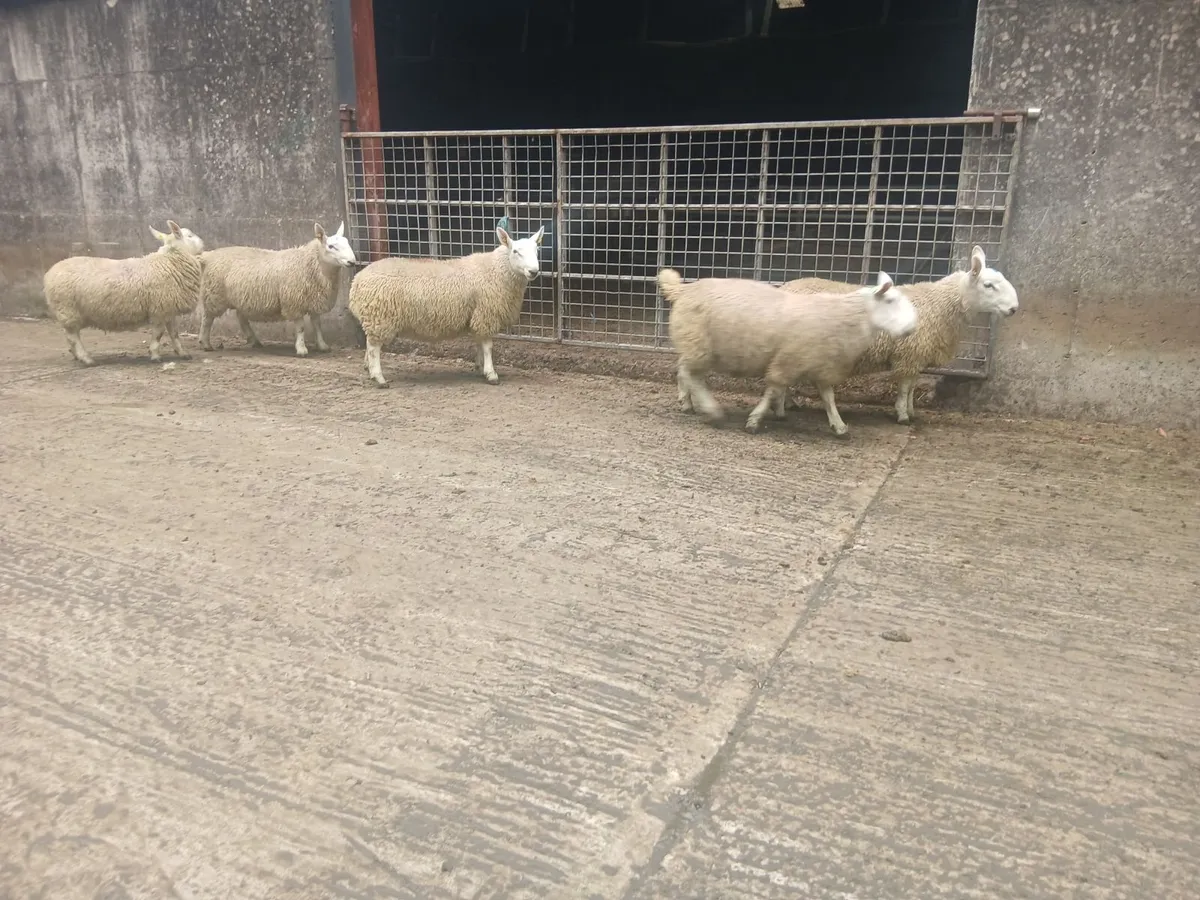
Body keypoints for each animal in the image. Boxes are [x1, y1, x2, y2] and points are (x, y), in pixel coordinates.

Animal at [42, 220, 205, 366]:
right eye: (190, 235)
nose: (203, 243)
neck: (170, 262)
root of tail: (48, 275)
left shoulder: (169, 310)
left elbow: (174, 334)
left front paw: (183, 353)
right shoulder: (159, 309)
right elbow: (158, 335)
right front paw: (155, 356)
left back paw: (77, 356)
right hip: (68, 310)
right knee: (72, 337)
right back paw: (86, 359)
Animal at [198, 222, 357, 356]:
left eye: (347, 243)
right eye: (331, 246)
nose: (352, 262)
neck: (311, 264)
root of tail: (209, 255)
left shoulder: (314, 299)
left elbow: (317, 325)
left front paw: (322, 345)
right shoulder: (294, 302)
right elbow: (301, 328)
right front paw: (301, 349)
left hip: (241, 297)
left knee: (241, 318)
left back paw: (254, 340)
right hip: (214, 295)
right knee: (207, 319)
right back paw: (205, 343)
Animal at [348, 224, 545, 387]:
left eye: (537, 249)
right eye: (516, 251)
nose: (533, 271)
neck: (497, 269)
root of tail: (356, 282)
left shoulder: (476, 315)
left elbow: (480, 343)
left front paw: (480, 366)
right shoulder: (486, 314)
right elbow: (488, 346)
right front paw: (491, 374)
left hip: (375, 319)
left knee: (370, 344)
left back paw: (369, 369)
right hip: (380, 317)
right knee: (373, 348)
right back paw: (379, 378)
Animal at [659, 268, 918, 435]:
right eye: (890, 301)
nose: (913, 328)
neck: (844, 316)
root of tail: (682, 290)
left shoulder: (819, 364)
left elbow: (828, 397)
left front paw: (839, 425)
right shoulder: (787, 362)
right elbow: (774, 390)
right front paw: (755, 420)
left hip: (697, 346)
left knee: (685, 372)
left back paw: (687, 403)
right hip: (699, 345)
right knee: (691, 375)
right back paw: (712, 411)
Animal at [778, 245, 1019, 423]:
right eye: (988, 285)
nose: (1014, 308)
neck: (940, 304)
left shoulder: (917, 354)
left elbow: (912, 386)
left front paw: (911, 411)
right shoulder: (909, 353)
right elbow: (905, 387)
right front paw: (903, 415)